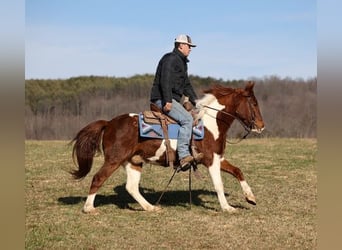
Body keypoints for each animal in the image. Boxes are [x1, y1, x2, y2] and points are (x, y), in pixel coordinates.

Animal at [71, 80, 266, 213]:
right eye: (254, 103)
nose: (261, 126)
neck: (210, 123)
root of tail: (109, 123)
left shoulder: (218, 158)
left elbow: (238, 171)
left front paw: (250, 197)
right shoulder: (211, 160)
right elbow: (219, 184)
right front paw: (227, 207)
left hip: (133, 162)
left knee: (131, 187)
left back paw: (150, 207)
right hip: (114, 160)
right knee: (98, 178)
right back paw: (89, 208)